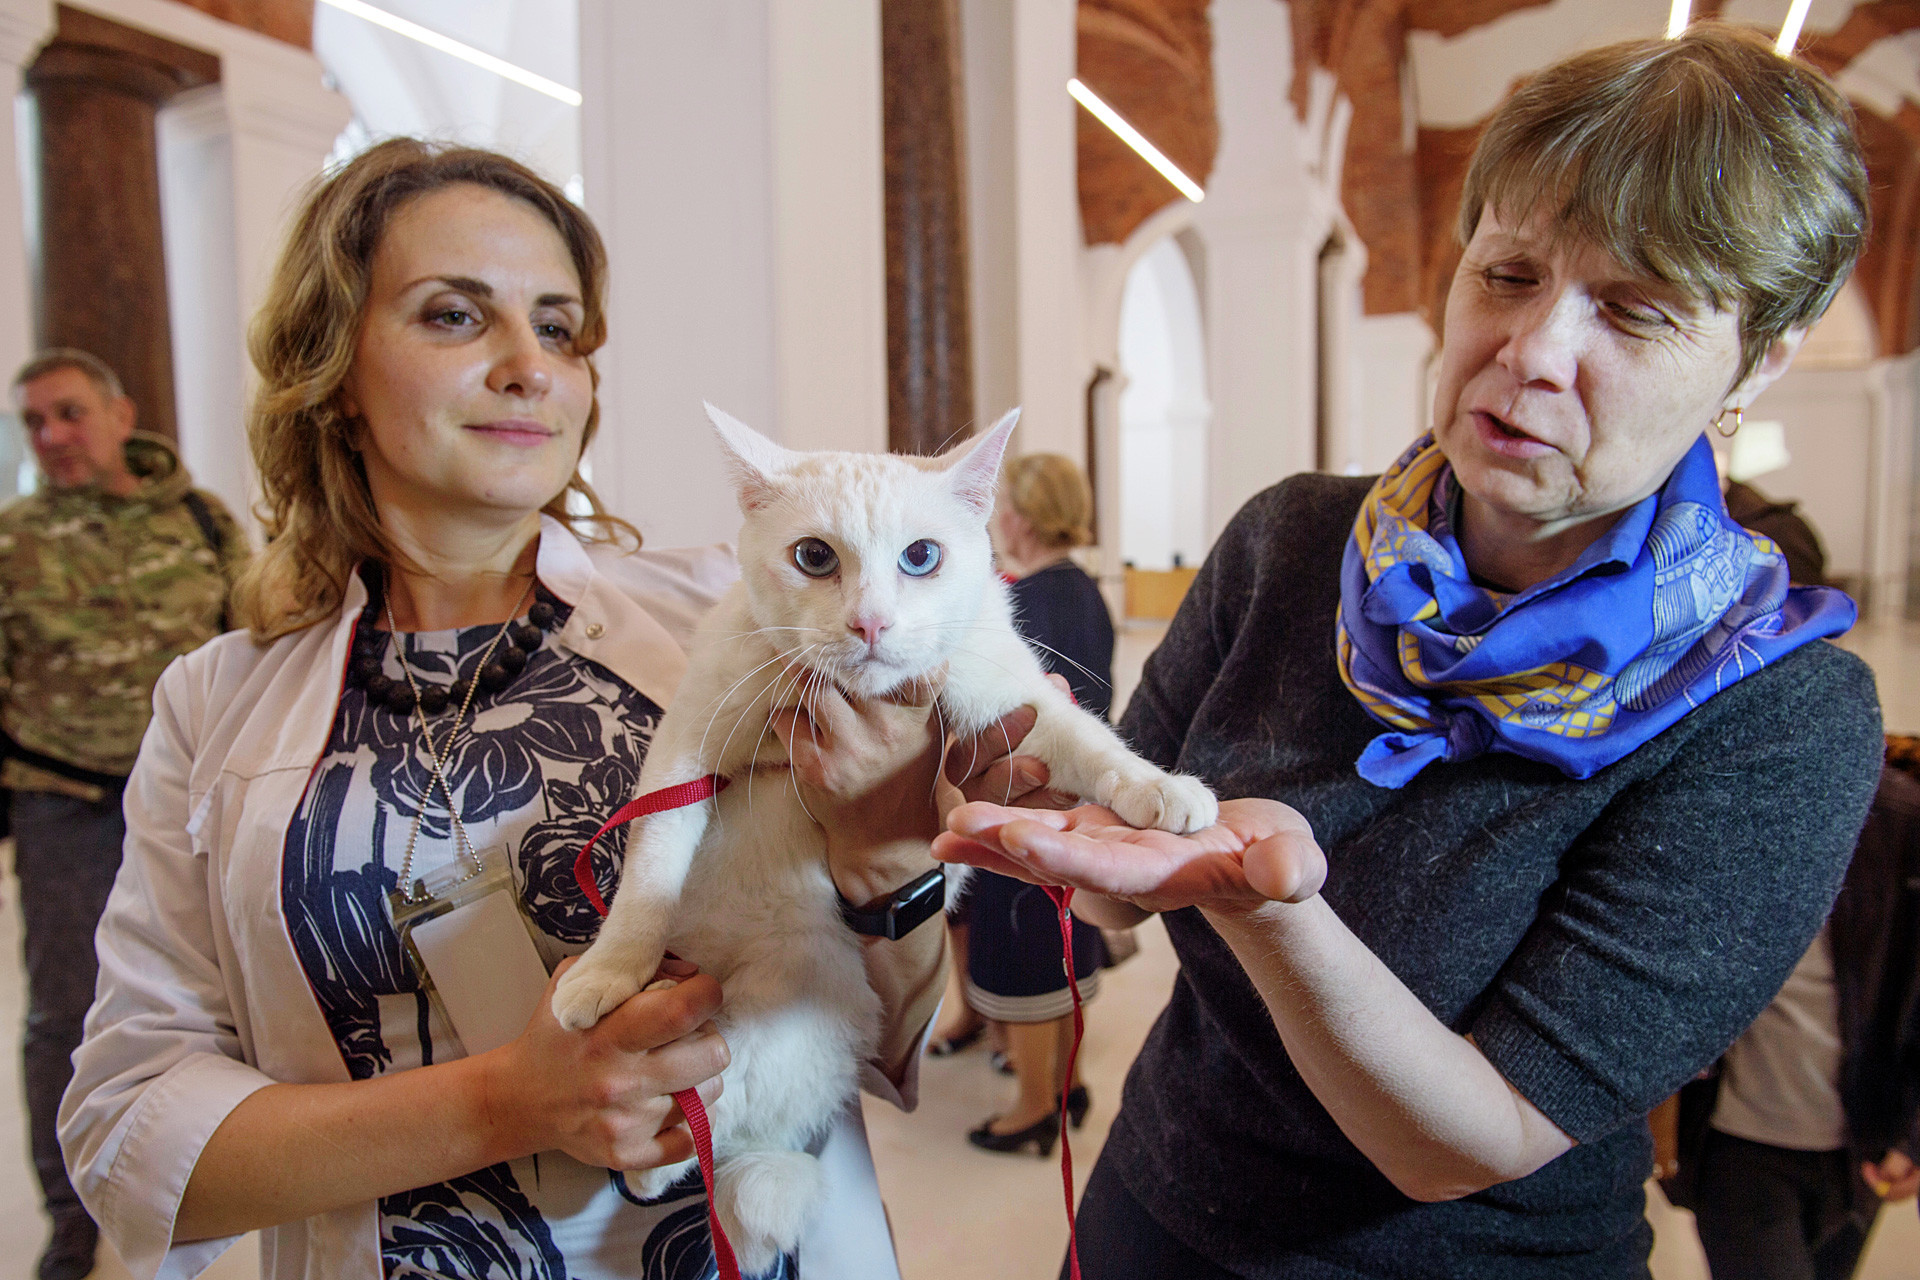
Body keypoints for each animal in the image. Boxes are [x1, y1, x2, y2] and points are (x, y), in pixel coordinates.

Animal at [556, 402, 1213, 1274]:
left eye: (921, 557)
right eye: (813, 557)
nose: (869, 622)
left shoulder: (1011, 693)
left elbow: (1090, 741)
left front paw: (1158, 787)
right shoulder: (685, 747)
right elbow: (651, 867)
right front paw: (612, 967)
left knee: (737, 1127)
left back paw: (673, 1156)